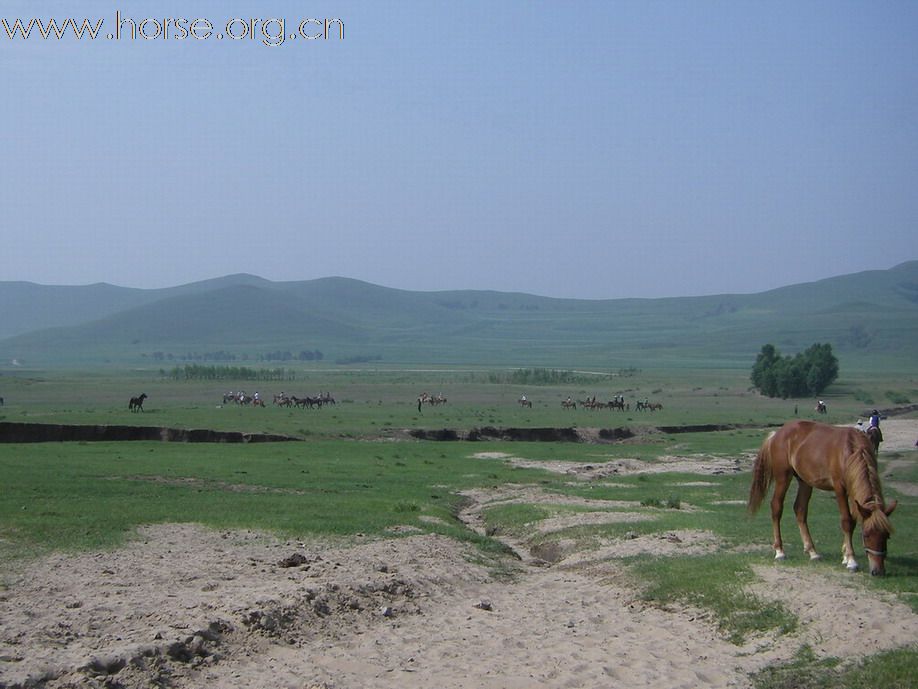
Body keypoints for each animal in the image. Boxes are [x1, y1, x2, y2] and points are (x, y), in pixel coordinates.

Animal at [748, 420, 900, 576]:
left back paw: (812, 552)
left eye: (887, 535)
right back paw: (780, 551)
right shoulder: (840, 489)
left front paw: (845, 556)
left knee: (800, 509)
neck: (851, 451)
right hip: (783, 477)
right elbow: (846, 521)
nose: (878, 571)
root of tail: (776, 434)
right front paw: (851, 560)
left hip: (805, 481)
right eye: (866, 535)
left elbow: (853, 520)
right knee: (776, 507)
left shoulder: (853, 490)